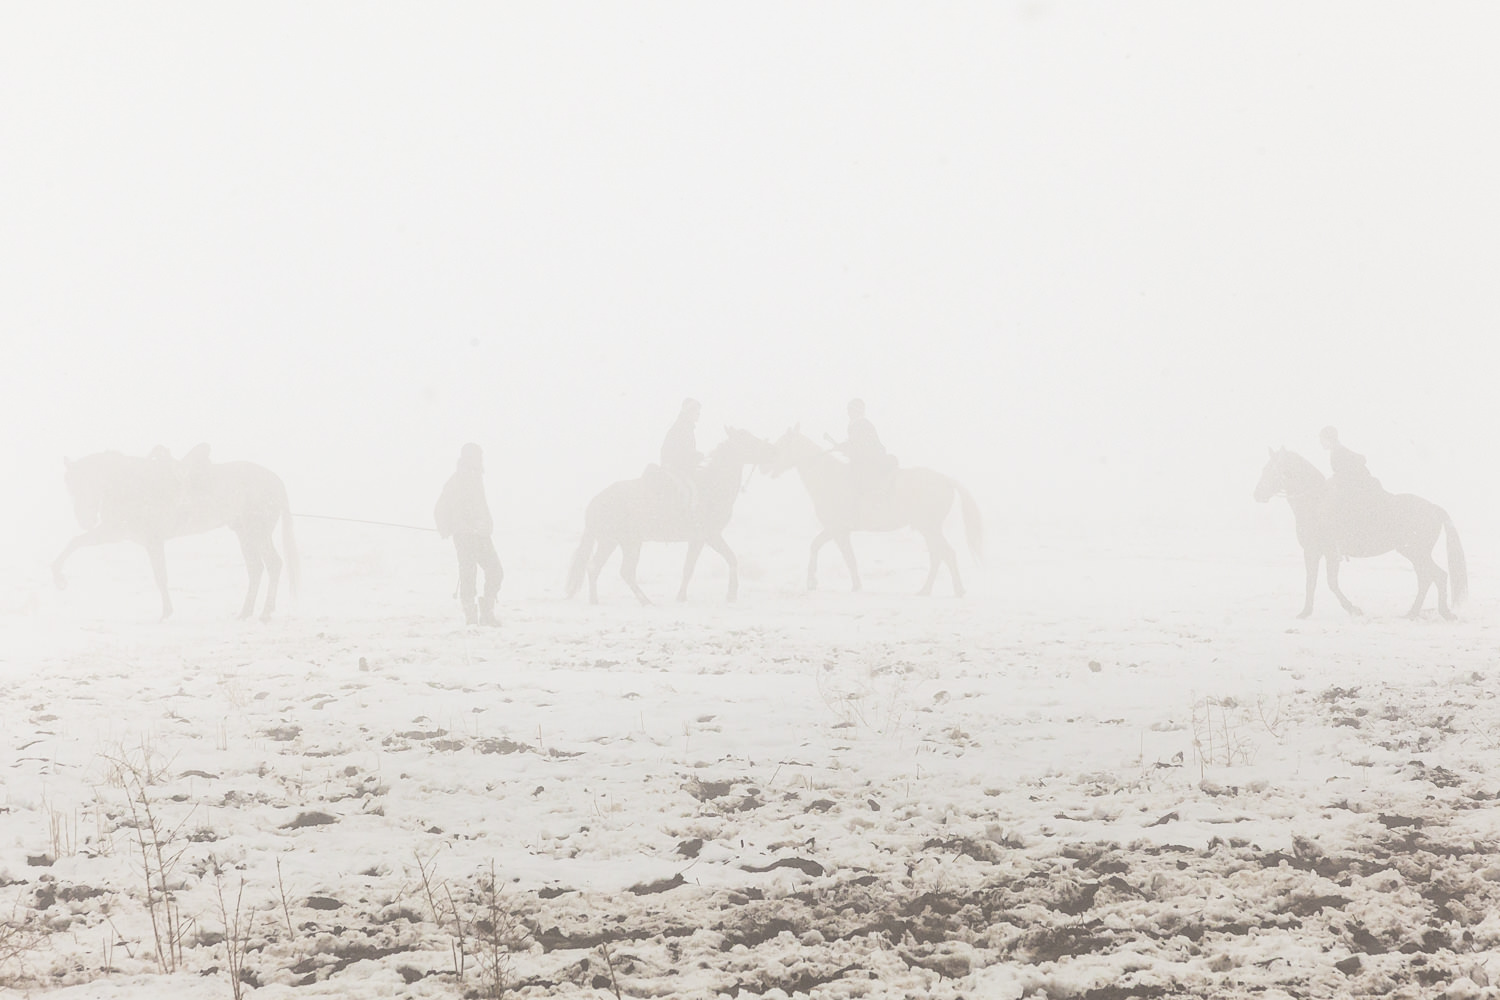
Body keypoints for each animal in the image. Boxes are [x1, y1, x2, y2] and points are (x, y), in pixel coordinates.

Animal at [53, 446, 298, 617]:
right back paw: (246, 612)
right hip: (245, 534)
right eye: (71, 489)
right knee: (256, 569)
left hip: (258, 533)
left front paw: (166, 613)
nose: (85, 520)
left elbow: (160, 576)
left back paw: (265, 612)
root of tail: (275, 480)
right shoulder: (114, 533)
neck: (131, 485)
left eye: (89, 484)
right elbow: (74, 543)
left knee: (273, 564)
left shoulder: (146, 539)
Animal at [564, 428, 774, 605]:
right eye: (748, 440)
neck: (711, 485)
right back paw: (635, 600)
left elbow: (712, 563)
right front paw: (725, 594)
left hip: (618, 542)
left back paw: (606, 600)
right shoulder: (707, 537)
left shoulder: (703, 539)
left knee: (603, 568)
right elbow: (712, 563)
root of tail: (595, 501)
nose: (771, 451)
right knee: (615, 570)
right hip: (621, 542)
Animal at [762, 428, 984, 593]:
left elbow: (840, 555)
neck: (828, 476)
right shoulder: (838, 531)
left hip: (930, 528)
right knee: (938, 555)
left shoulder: (837, 530)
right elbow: (827, 550)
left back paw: (954, 589)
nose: (766, 466)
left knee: (945, 554)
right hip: (928, 529)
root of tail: (946, 479)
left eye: (781, 445)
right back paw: (927, 589)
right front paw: (819, 583)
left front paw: (844, 585)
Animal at [1254, 446, 1464, 617]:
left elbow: (1331, 582)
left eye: (1273, 470)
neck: (1316, 502)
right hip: (1414, 553)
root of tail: (1434, 508)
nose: (1257, 495)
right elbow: (1311, 581)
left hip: (1415, 551)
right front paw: (1305, 612)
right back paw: (1413, 613)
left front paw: (1352, 609)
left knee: (1436, 576)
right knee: (1428, 577)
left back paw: (1441, 612)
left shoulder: (1329, 552)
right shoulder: (1313, 552)